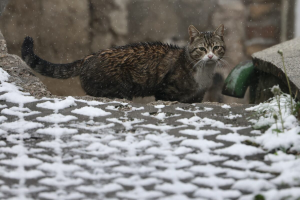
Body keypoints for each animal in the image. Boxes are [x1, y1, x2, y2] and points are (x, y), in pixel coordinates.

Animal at [21, 24, 225, 103]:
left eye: (216, 48)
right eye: (201, 49)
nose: (210, 56)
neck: (204, 74)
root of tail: (89, 57)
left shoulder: (197, 97)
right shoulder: (165, 91)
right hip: (119, 87)